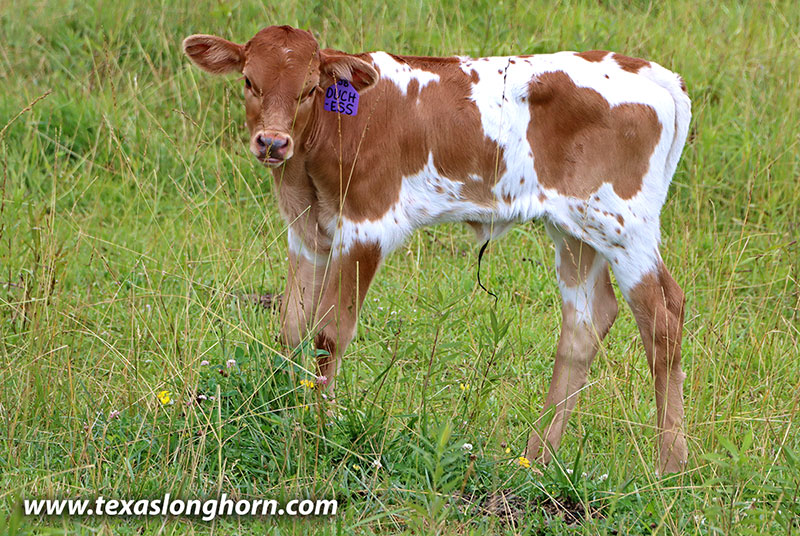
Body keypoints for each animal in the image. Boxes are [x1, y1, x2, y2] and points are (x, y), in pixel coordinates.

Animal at [182, 25, 691, 473]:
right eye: (249, 81)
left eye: (309, 89)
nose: (272, 142)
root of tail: (646, 70)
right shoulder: (306, 231)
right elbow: (291, 328)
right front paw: (284, 415)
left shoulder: (369, 225)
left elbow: (330, 333)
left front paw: (318, 430)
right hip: (576, 231)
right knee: (586, 322)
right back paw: (537, 461)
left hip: (625, 226)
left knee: (663, 315)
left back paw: (669, 466)